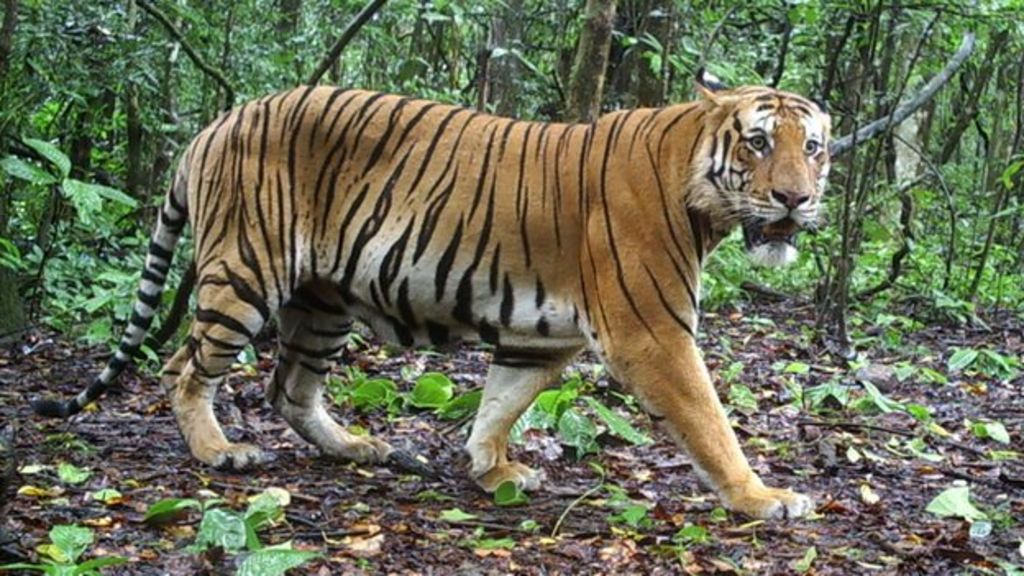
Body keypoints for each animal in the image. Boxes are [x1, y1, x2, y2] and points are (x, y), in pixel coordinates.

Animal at [33, 77, 831, 520]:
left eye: (813, 147)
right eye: (760, 142)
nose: (795, 198)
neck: (702, 197)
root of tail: (217, 123)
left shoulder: (541, 336)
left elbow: (500, 403)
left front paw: (492, 469)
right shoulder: (652, 334)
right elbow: (710, 421)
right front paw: (762, 498)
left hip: (323, 301)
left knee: (288, 387)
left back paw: (361, 447)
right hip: (245, 273)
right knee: (183, 369)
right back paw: (220, 453)